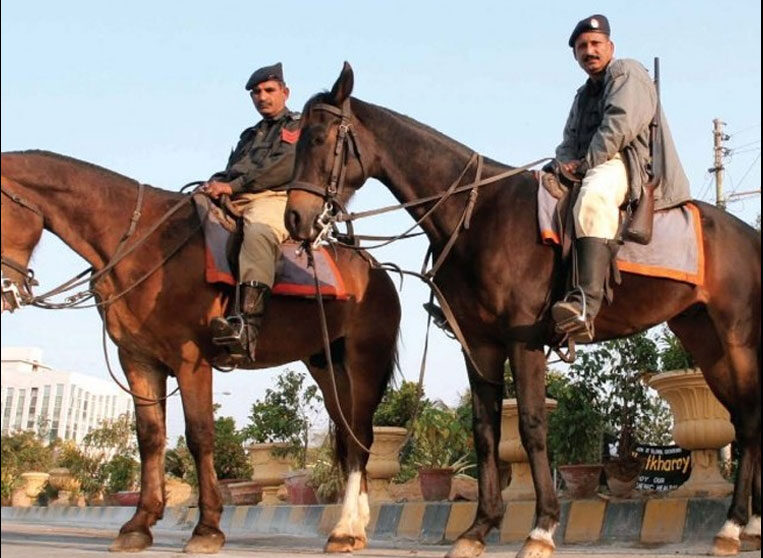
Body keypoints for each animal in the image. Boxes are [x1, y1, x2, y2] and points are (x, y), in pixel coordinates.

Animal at [0, 150, 402, 556]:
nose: (6, 293)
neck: (143, 245)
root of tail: (378, 271)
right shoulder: (138, 360)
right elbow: (150, 437)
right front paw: (139, 525)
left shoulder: (190, 360)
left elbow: (200, 435)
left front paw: (207, 528)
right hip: (328, 367)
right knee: (349, 434)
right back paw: (353, 526)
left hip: (365, 361)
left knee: (361, 435)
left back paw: (347, 530)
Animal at [284, 64, 760, 558]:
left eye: (318, 139)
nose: (295, 219)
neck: (477, 213)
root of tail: (748, 236)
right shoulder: (479, 345)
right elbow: (484, 432)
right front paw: (479, 528)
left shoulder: (523, 340)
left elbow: (531, 426)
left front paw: (541, 528)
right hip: (704, 342)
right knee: (746, 418)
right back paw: (749, 526)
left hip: (735, 341)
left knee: (749, 422)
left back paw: (732, 527)